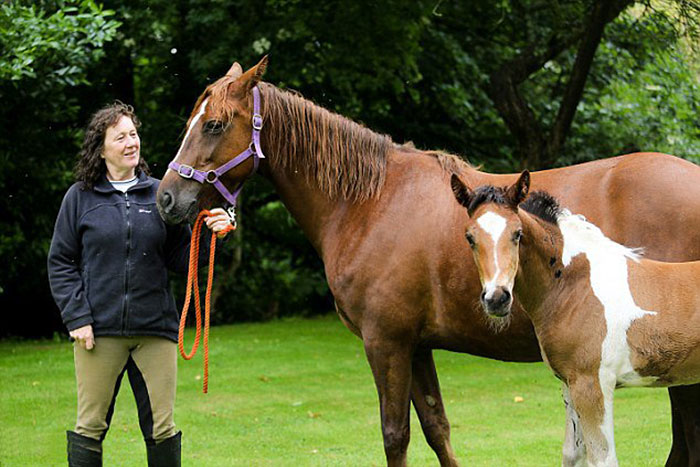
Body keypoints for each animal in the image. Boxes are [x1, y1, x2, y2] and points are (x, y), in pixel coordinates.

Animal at [450, 171, 700, 466]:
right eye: (469, 237)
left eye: (517, 234)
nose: (497, 298)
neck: (574, 284)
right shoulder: (570, 384)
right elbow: (572, 453)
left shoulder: (592, 385)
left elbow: (602, 457)